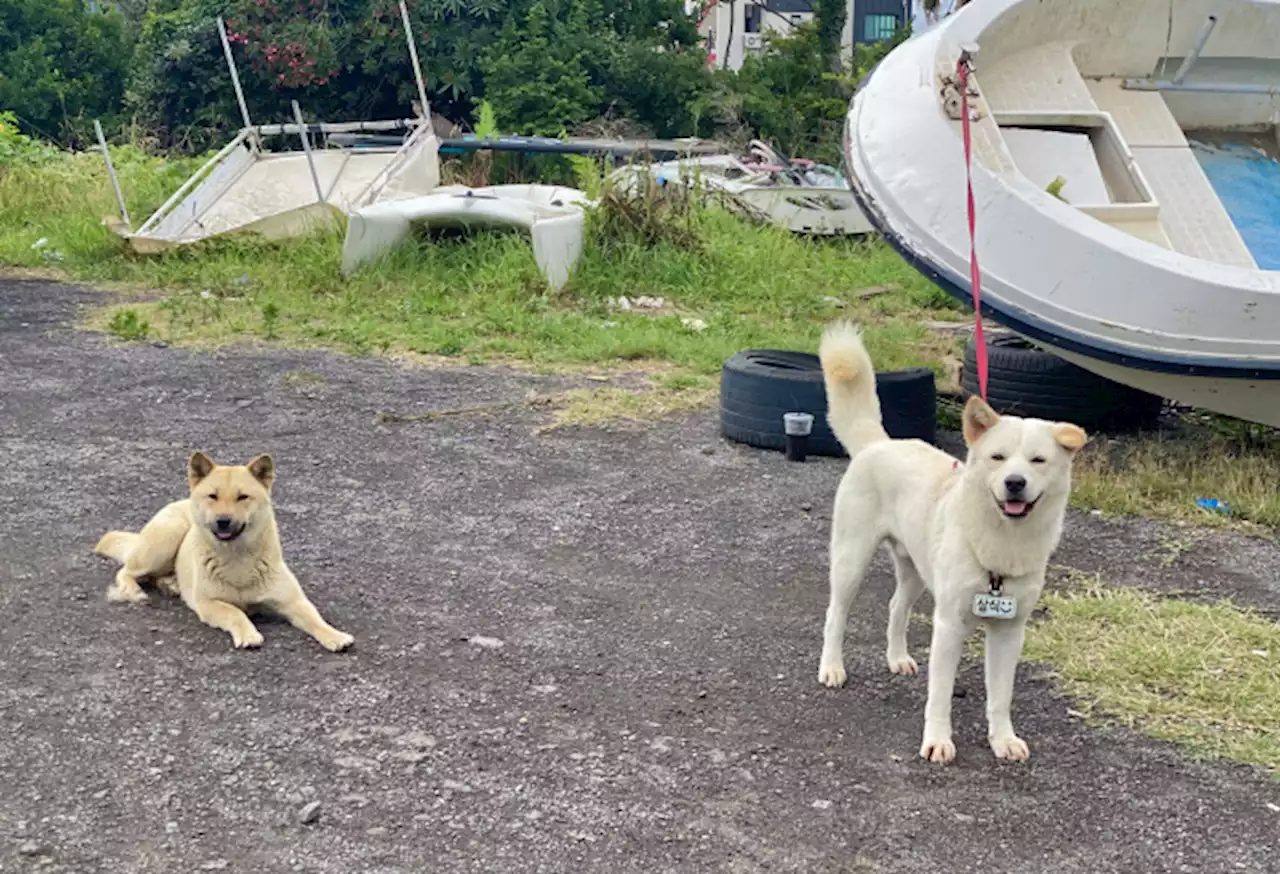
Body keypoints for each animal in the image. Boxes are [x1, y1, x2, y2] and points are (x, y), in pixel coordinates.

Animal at [93, 455, 355, 652]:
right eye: (213, 496)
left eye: (242, 497)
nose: (223, 521)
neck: (237, 558)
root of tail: (181, 501)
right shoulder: (209, 604)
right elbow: (235, 612)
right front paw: (248, 634)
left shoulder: (293, 601)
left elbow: (315, 618)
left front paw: (335, 636)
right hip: (166, 539)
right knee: (127, 571)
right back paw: (134, 590)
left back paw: (171, 584)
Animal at [814, 322, 1085, 767]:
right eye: (997, 457)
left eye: (1038, 461)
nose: (1015, 482)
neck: (1001, 541)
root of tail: (879, 443)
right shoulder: (949, 625)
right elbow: (940, 696)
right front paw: (938, 741)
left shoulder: (1010, 632)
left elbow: (1000, 697)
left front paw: (1003, 740)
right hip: (851, 559)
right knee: (835, 615)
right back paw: (832, 668)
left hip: (915, 570)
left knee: (896, 607)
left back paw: (897, 658)